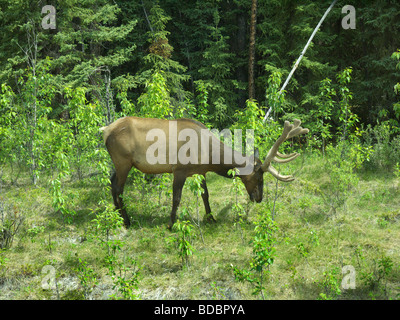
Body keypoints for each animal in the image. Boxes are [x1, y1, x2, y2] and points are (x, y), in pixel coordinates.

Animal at [100, 116, 310, 229]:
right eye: (259, 177)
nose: (258, 198)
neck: (209, 155)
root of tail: (106, 130)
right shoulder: (179, 169)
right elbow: (176, 198)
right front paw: (171, 224)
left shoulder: (200, 171)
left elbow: (205, 195)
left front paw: (211, 218)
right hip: (124, 161)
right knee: (118, 188)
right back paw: (126, 220)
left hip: (118, 163)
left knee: (111, 182)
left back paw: (117, 216)